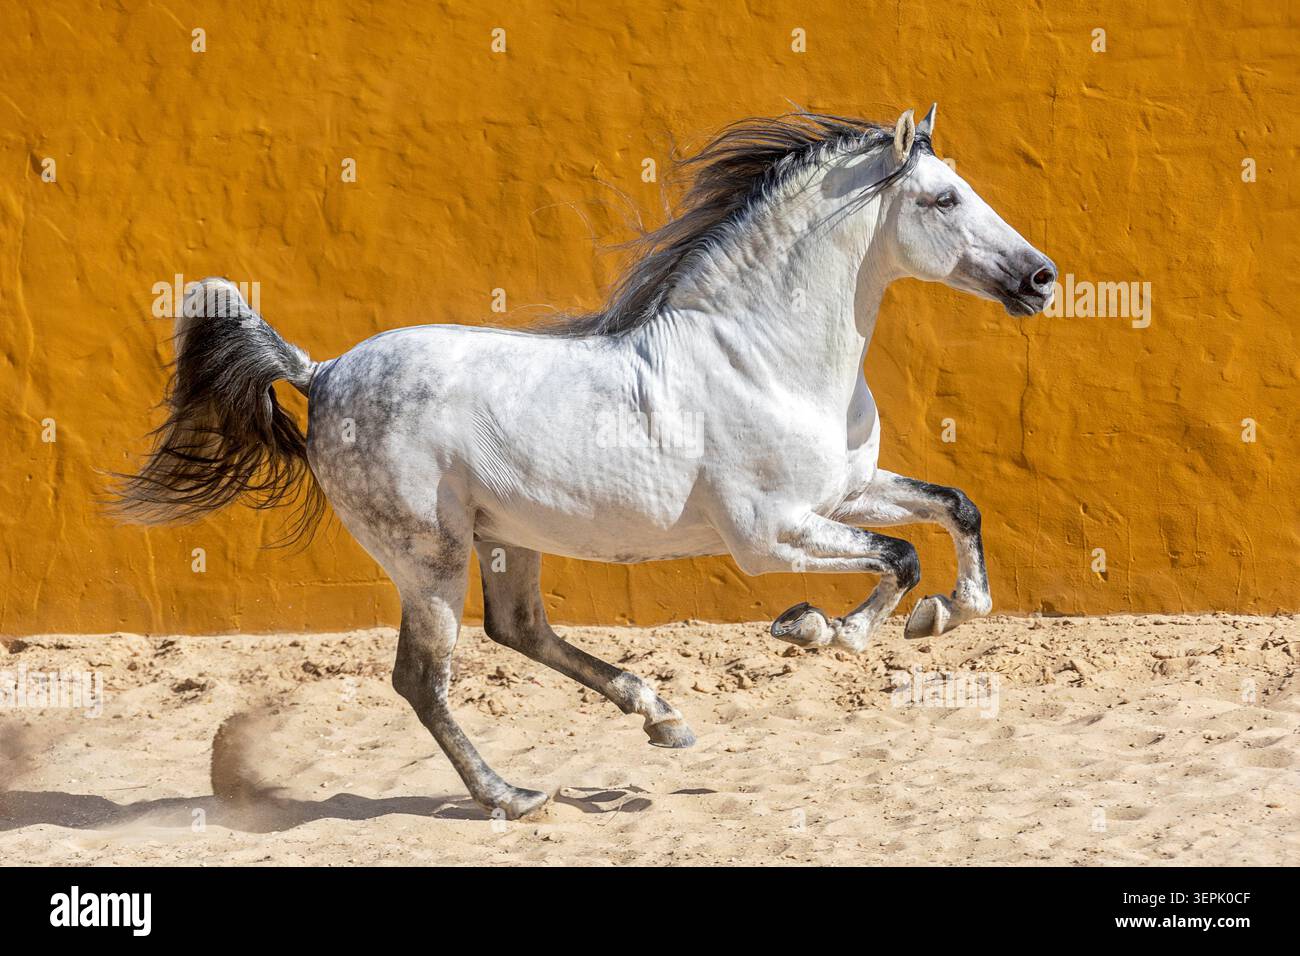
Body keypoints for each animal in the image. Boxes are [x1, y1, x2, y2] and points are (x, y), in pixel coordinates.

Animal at [114, 104, 1056, 819]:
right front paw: (824, 629)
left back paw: (659, 717)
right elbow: (897, 558)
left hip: (503, 538)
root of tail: (322, 372)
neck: (764, 355)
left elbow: (954, 509)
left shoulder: (847, 491)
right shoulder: (770, 534)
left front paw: (946, 613)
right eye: (942, 199)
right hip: (428, 555)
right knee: (424, 678)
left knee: (520, 630)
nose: (1043, 278)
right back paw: (511, 796)